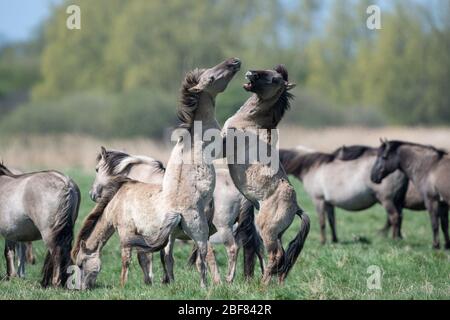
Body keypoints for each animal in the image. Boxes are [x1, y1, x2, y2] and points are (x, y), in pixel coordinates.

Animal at [89, 147, 262, 282]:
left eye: (97, 169)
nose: (92, 194)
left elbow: (150, 256)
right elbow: (163, 255)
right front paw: (166, 280)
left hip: (224, 228)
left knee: (232, 249)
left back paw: (228, 279)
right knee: (255, 247)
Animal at [221, 64, 310, 282]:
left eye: (275, 79)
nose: (251, 73)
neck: (250, 121)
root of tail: (296, 207)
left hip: (267, 230)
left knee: (275, 255)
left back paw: (262, 284)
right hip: (276, 234)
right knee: (281, 256)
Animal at [282, 146, 426, 242]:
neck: (313, 167)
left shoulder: (319, 200)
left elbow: (322, 222)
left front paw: (323, 242)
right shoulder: (329, 203)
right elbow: (332, 221)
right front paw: (334, 240)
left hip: (387, 200)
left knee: (395, 217)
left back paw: (394, 239)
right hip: (397, 201)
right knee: (399, 217)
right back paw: (399, 237)